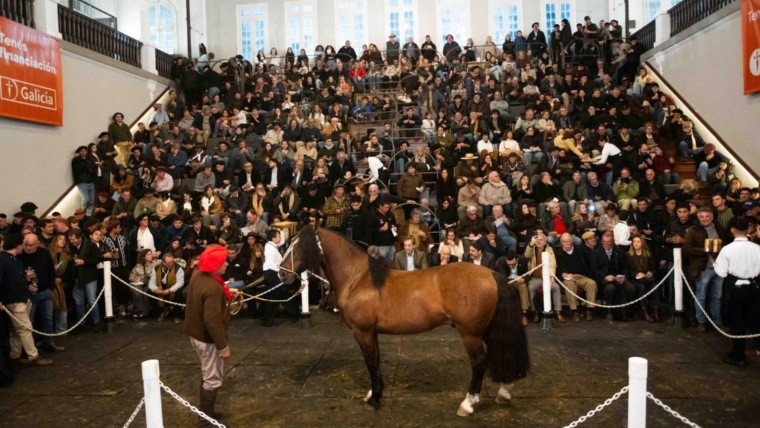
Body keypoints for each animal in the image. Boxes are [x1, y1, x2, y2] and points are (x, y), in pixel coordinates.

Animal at [279, 226, 529, 417]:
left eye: (299, 246)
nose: (281, 273)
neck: (359, 278)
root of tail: (492, 274)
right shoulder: (372, 333)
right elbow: (376, 361)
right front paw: (373, 393)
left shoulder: (363, 332)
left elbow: (371, 362)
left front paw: (375, 398)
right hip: (486, 329)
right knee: (500, 352)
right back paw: (504, 393)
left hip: (470, 334)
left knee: (479, 362)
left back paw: (467, 404)